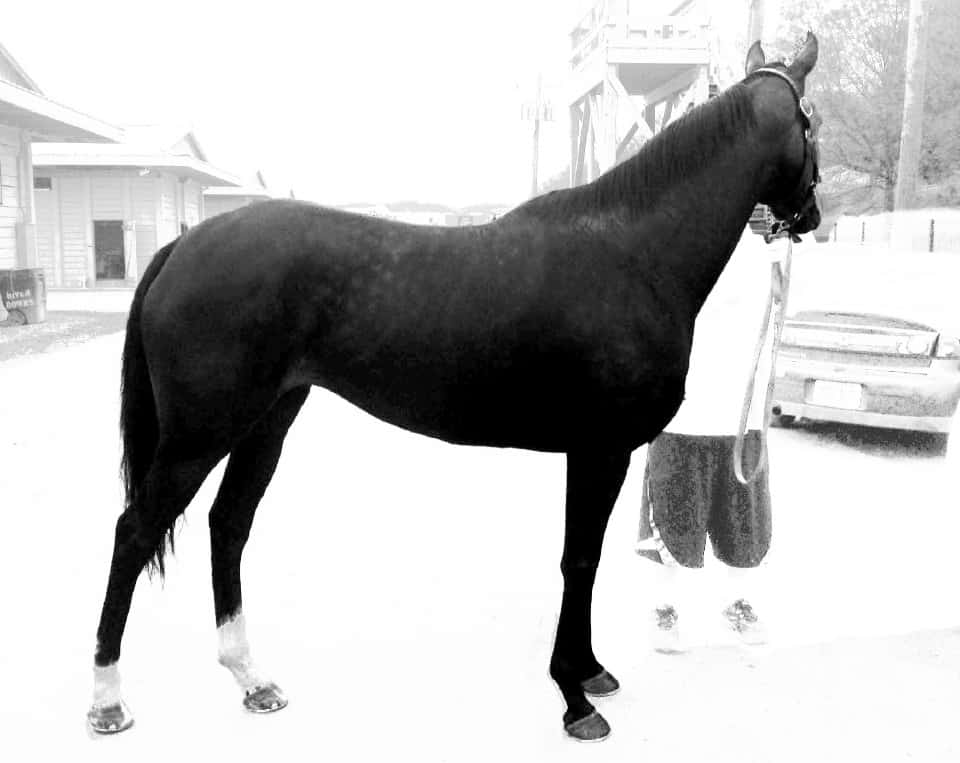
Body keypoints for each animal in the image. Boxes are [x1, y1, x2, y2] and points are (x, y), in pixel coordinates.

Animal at [87, 35, 821, 741]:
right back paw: (108, 700)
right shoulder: (599, 449)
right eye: (809, 120)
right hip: (200, 433)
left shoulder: (596, 452)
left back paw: (252, 680)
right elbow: (579, 559)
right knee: (134, 531)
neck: (635, 254)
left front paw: (589, 670)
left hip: (267, 421)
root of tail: (182, 248)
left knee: (228, 525)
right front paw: (575, 697)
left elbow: (583, 559)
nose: (811, 213)